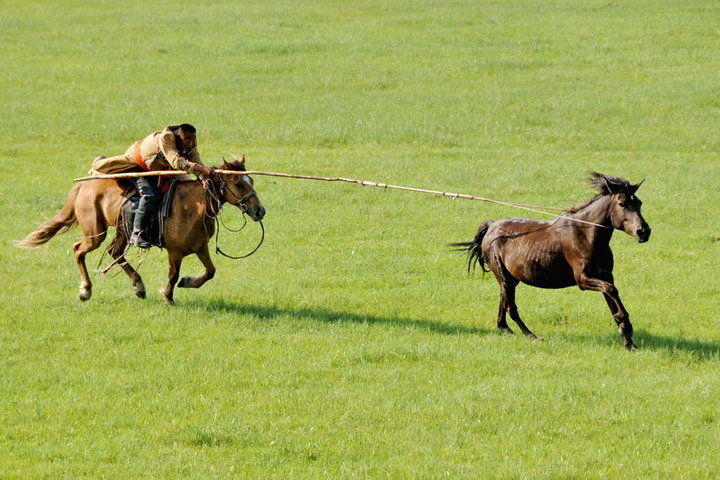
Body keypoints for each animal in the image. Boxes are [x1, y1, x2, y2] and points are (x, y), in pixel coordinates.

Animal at [18, 157, 266, 304]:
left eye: (251, 180)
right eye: (238, 183)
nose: (260, 211)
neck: (194, 205)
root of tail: (84, 185)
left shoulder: (200, 247)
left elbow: (210, 271)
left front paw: (187, 282)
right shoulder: (175, 252)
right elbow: (173, 275)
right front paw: (168, 296)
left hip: (121, 231)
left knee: (115, 252)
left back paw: (139, 287)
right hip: (95, 231)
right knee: (79, 249)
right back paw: (85, 290)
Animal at [456, 172, 652, 348]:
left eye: (639, 203)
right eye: (622, 203)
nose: (643, 231)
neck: (586, 235)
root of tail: (491, 226)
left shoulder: (605, 275)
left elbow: (612, 298)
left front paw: (628, 342)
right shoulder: (583, 280)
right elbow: (612, 290)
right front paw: (626, 326)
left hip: (511, 278)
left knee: (503, 299)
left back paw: (504, 328)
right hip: (504, 276)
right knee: (511, 306)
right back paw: (532, 336)